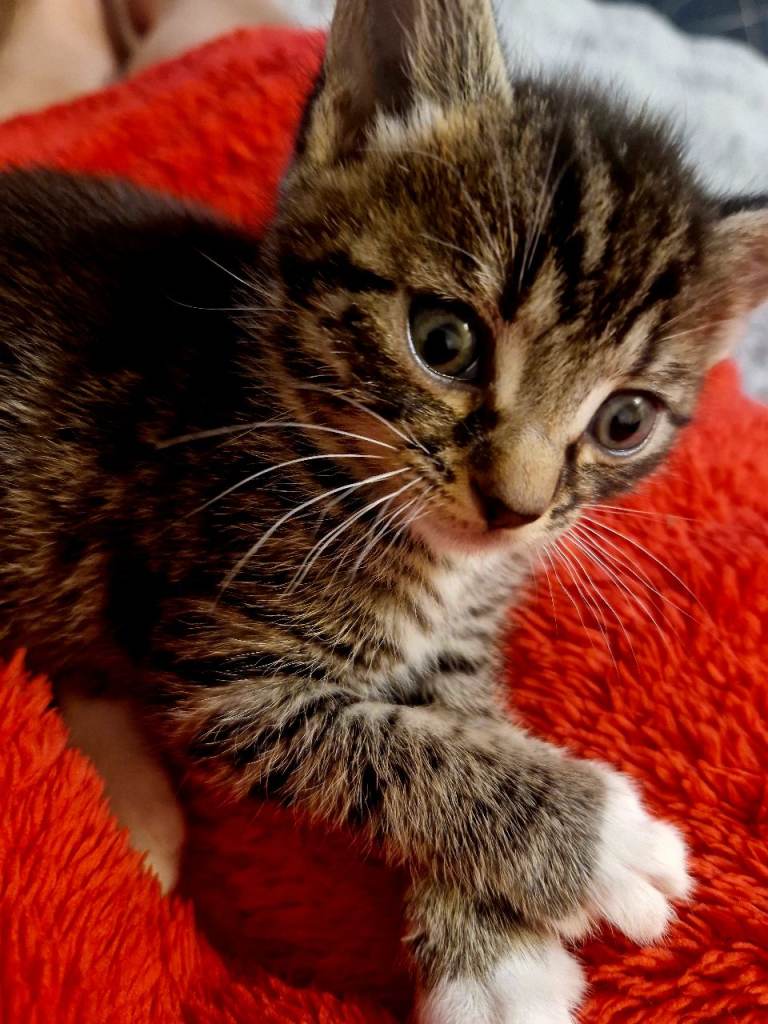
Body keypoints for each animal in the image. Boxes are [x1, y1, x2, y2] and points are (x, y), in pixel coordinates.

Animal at [1, 0, 767, 1021]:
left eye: (624, 421)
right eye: (443, 340)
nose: (515, 506)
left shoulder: (460, 646)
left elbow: (460, 724)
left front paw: (494, 958)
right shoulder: (228, 666)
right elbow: (384, 747)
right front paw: (607, 843)